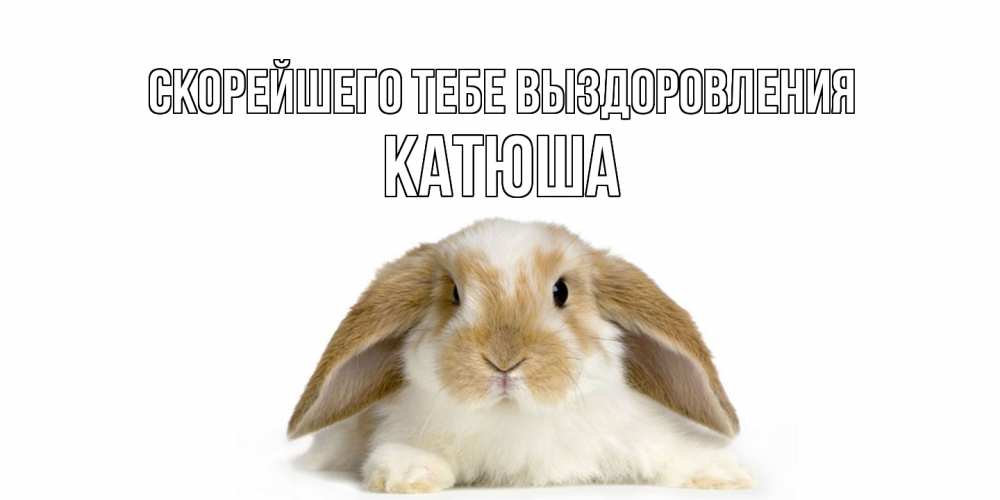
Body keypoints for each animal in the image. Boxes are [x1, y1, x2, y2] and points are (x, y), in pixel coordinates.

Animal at [288, 219, 752, 492]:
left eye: (561, 291)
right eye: (454, 294)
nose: (504, 359)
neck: (515, 417)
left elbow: (670, 450)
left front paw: (724, 474)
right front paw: (408, 474)